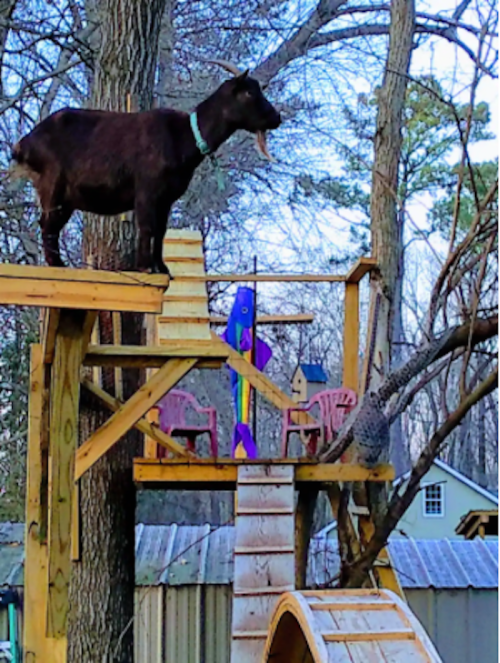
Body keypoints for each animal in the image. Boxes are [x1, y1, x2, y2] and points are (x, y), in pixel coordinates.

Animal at [11, 60, 281, 276]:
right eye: (249, 92)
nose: (276, 118)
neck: (184, 136)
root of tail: (23, 144)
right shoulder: (146, 191)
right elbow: (147, 226)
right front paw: (144, 267)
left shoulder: (166, 198)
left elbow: (160, 230)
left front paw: (162, 268)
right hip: (52, 184)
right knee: (46, 224)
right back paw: (57, 266)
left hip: (66, 199)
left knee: (51, 225)